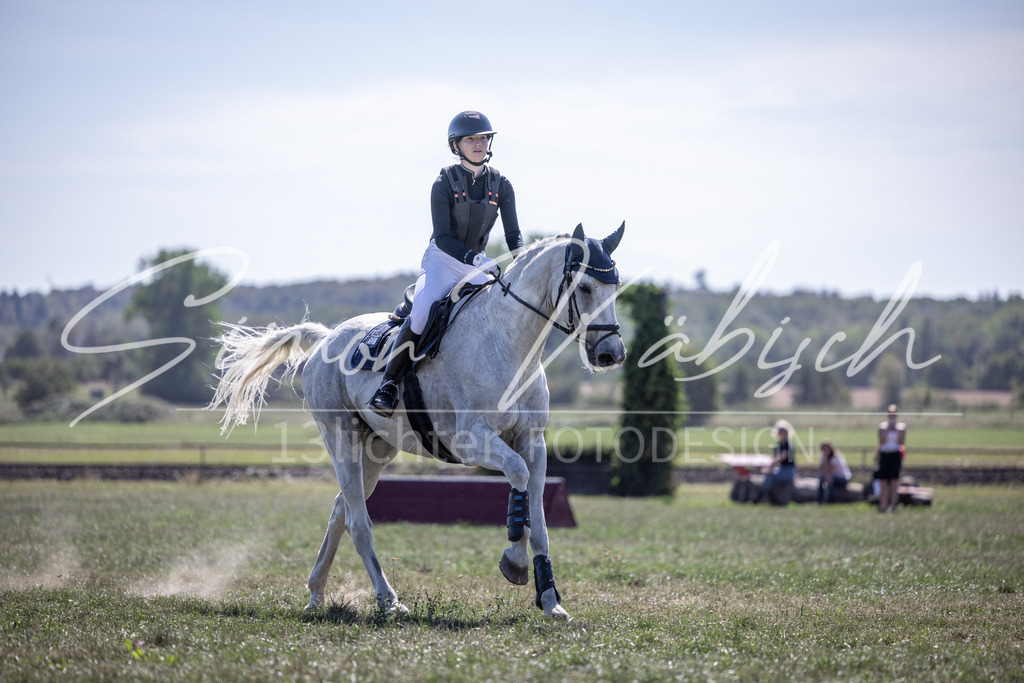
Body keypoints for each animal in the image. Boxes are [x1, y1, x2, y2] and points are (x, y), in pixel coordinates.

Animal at [209, 223, 627, 620]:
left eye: (616, 287)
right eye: (585, 287)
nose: (611, 354)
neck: (508, 343)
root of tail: (327, 338)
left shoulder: (532, 441)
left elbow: (538, 519)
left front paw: (550, 599)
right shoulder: (470, 440)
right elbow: (518, 476)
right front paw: (515, 561)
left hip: (377, 450)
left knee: (341, 511)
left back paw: (316, 593)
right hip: (340, 437)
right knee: (358, 522)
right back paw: (388, 600)